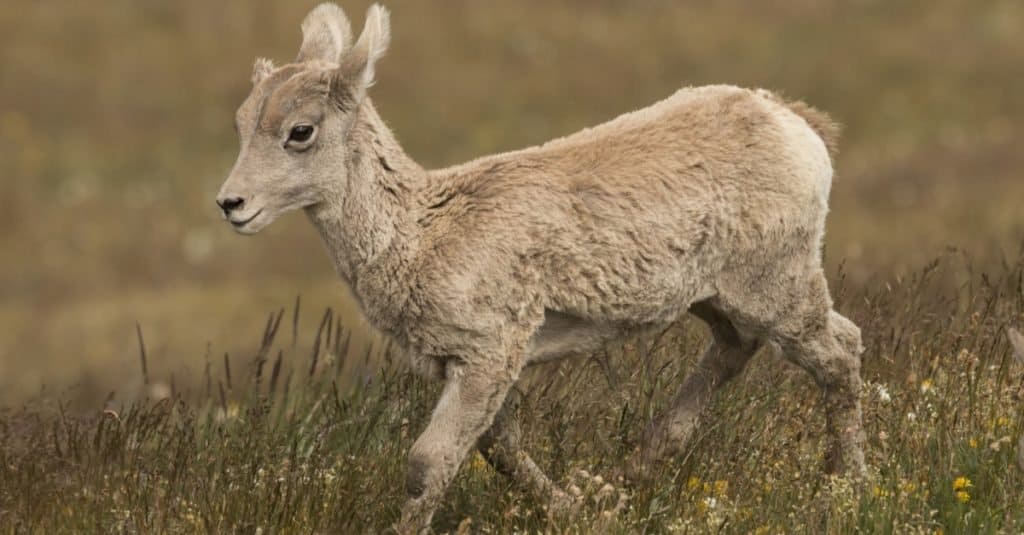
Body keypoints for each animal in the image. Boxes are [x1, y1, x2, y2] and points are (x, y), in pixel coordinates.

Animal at [214, 4, 864, 528]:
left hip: (779, 285)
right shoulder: (474, 364)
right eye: (241, 122)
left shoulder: (488, 352)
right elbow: (497, 451)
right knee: (739, 348)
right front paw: (582, 511)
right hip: (719, 298)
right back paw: (627, 480)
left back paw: (846, 490)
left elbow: (427, 463)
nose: (231, 204)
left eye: (300, 130)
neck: (422, 234)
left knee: (839, 352)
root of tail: (796, 124)